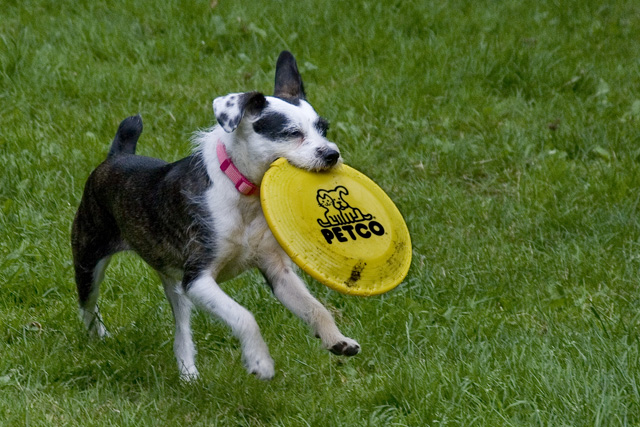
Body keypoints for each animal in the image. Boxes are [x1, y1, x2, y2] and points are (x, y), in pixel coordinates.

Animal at [72, 51, 360, 382]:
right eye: (291, 134)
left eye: (324, 129)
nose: (332, 154)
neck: (246, 196)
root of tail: (117, 157)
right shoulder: (198, 279)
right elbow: (245, 316)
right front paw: (260, 361)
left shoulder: (276, 272)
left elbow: (315, 307)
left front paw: (337, 340)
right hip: (88, 260)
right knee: (87, 307)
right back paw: (98, 338)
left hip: (174, 282)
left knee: (182, 329)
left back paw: (188, 374)